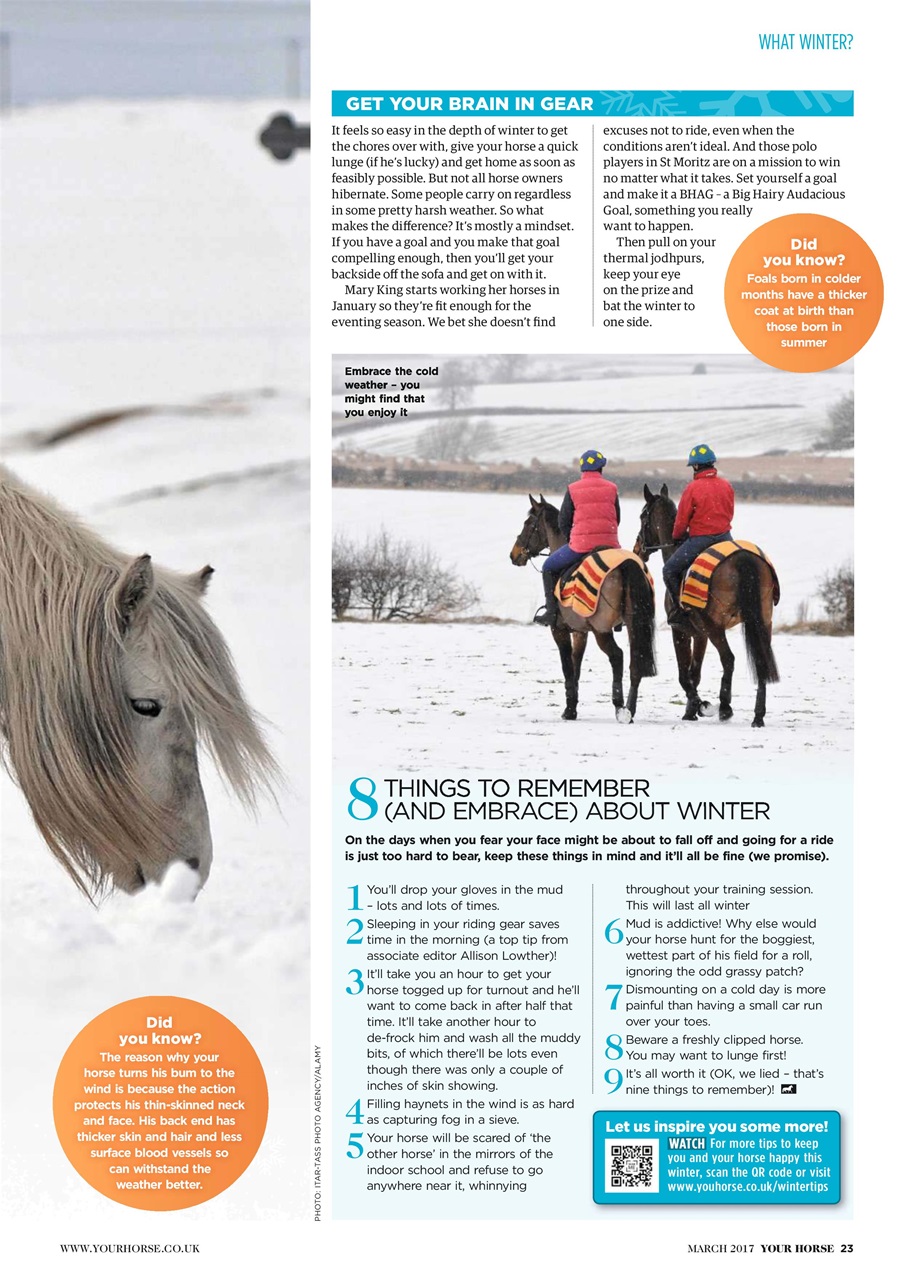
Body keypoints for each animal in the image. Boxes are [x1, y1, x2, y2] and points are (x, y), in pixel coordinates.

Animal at [510, 495, 657, 723]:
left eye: (528, 524)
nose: (514, 554)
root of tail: (626, 564)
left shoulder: (560, 630)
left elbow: (567, 666)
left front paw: (569, 710)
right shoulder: (580, 631)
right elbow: (576, 664)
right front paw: (572, 706)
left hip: (601, 630)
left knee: (617, 656)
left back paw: (619, 706)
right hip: (634, 624)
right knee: (635, 663)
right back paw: (629, 710)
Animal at [634, 483, 779, 728]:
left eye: (643, 516)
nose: (638, 549)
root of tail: (743, 558)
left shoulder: (680, 631)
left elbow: (684, 675)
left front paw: (700, 706)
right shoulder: (699, 634)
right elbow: (695, 673)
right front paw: (691, 711)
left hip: (714, 626)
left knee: (728, 659)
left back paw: (725, 708)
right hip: (762, 622)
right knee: (761, 660)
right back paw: (758, 716)